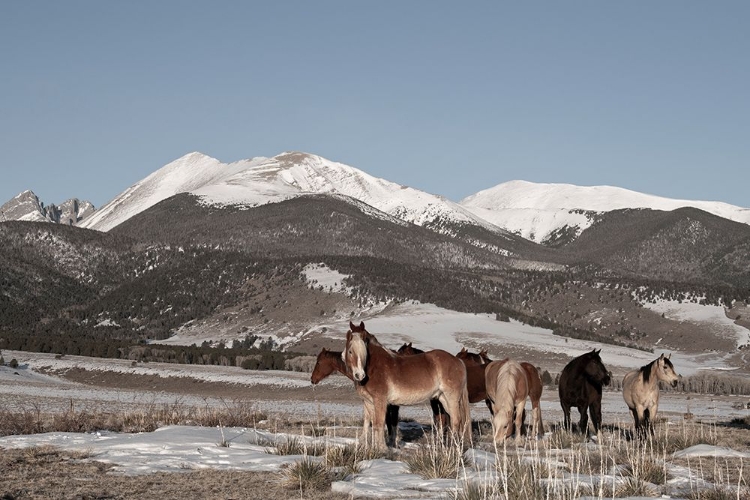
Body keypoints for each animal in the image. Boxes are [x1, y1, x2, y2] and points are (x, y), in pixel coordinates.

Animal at [344, 322, 472, 448]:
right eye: (350, 351)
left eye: (364, 351)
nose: (359, 375)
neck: (374, 367)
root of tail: (458, 361)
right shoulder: (368, 402)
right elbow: (368, 424)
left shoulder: (380, 401)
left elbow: (379, 424)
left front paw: (382, 448)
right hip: (443, 398)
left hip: (452, 398)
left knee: (456, 421)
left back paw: (453, 447)